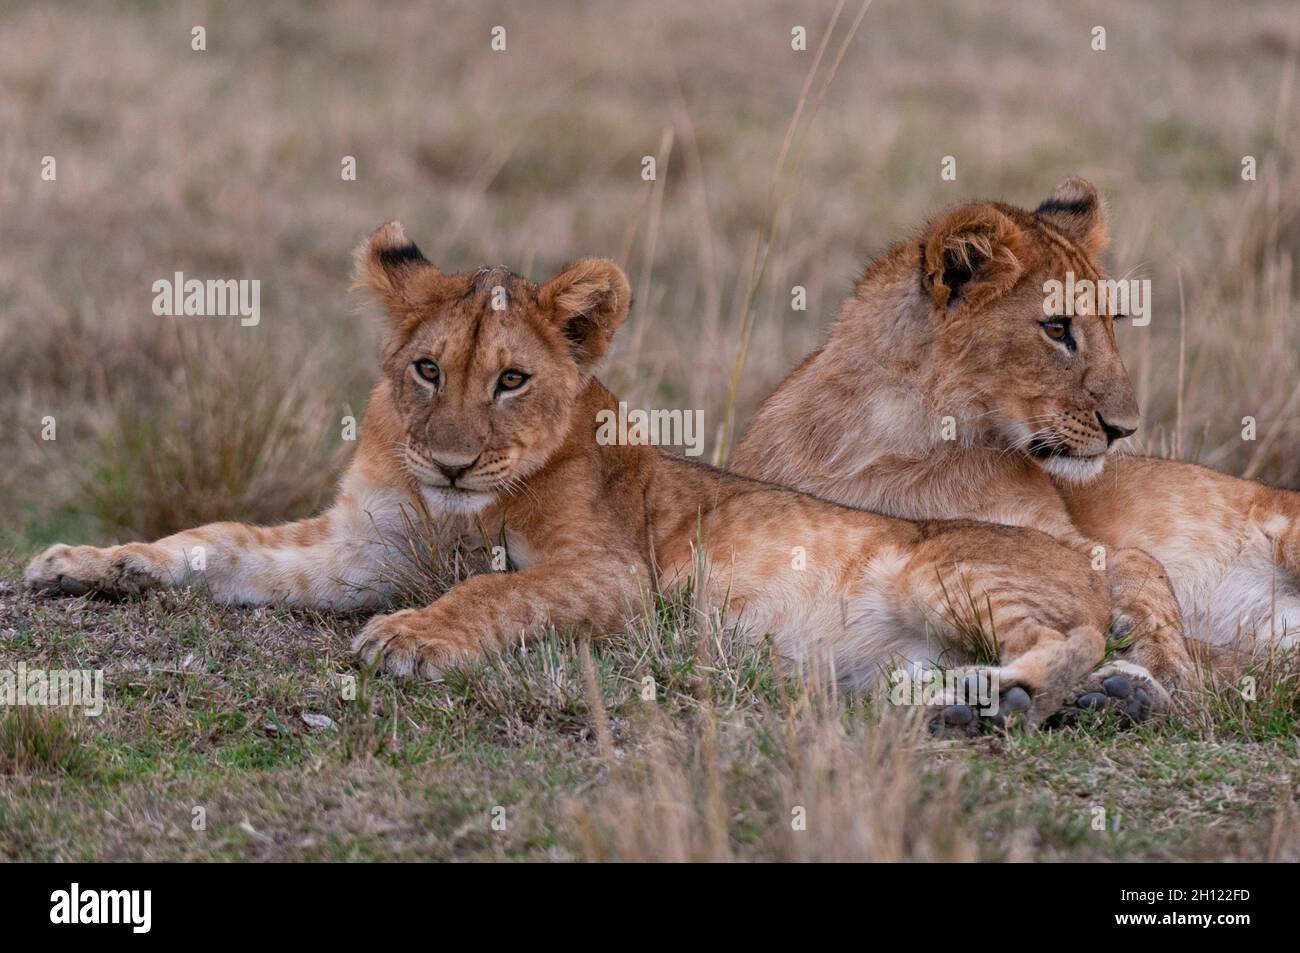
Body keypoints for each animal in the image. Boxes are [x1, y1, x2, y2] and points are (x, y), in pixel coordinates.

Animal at [25, 222, 1160, 727]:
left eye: (513, 378)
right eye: (426, 369)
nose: (449, 459)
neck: (452, 507)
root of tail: (1089, 550)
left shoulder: (617, 576)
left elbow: (496, 588)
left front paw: (412, 639)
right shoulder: (353, 550)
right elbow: (211, 541)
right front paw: (88, 561)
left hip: (956, 568)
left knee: (1072, 641)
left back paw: (1000, 693)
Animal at [733, 177, 1299, 688]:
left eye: (1112, 322)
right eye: (1056, 328)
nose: (1125, 429)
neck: (902, 440)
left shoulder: (1062, 540)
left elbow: (1142, 565)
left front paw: (1166, 663)